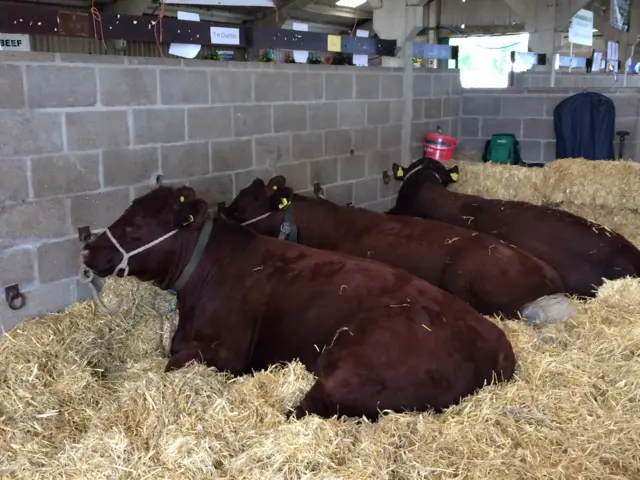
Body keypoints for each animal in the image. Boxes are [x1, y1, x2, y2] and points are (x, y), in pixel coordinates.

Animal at [81, 187, 520, 420]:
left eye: (137, 225)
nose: (87, 250)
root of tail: (497, 343)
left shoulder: (226, 352)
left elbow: (171, 364)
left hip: (350, 370)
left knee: (303, 408)